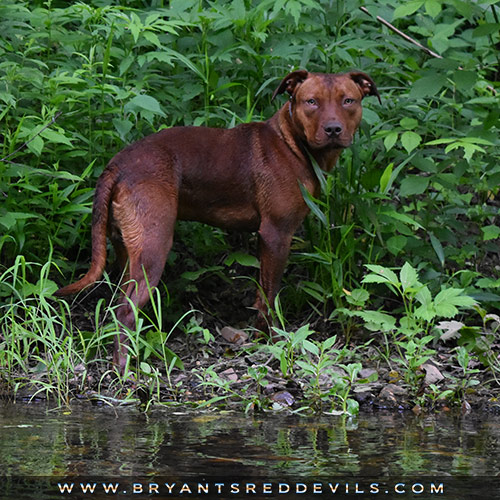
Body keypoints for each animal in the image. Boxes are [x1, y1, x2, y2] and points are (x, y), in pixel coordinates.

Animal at [54, 69, 380, 372]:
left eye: (348, 101)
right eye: (311, 101)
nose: (333, 129)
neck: (292, 143)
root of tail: (117, 164)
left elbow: (261, 295)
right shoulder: (277, 234)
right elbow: (270, 297)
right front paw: (275, 342)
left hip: (127, 252)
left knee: (117, 306)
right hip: (154, 247)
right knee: (125, 312)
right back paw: (126, 371)